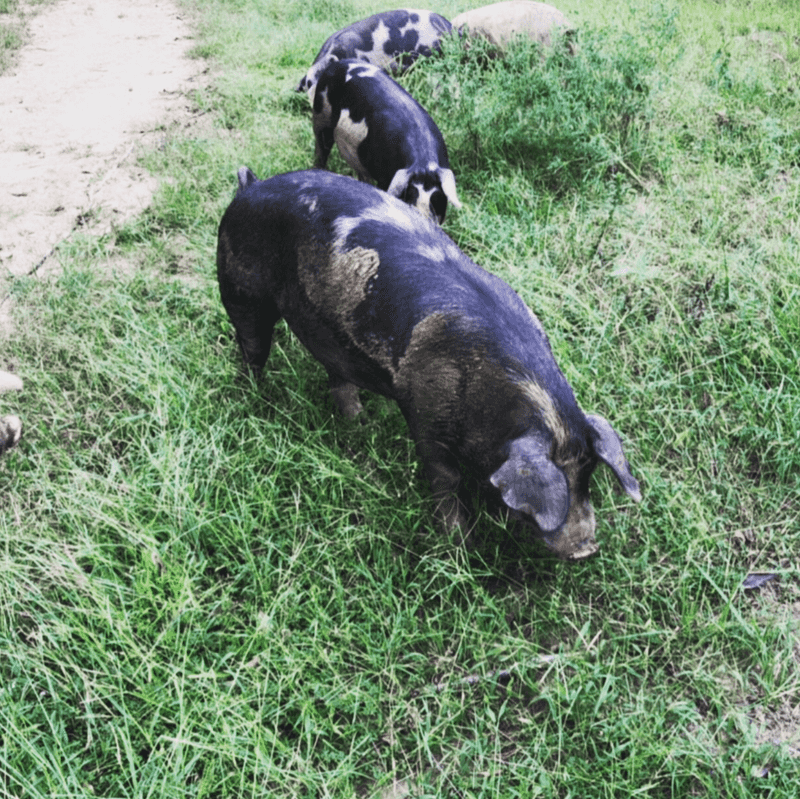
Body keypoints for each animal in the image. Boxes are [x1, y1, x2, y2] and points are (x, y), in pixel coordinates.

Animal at [217, 168, 641, 560]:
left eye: (588, 474)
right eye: (557, 481)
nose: (587, 547)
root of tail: (250, 186)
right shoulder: (425, 411)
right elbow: (445, 478)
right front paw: (460, 547)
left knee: (337, 378)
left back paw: (358, 424)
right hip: (240, 290)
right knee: (252, 348)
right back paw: (256, 399)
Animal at [312, 59, 461, 224]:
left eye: (436, 198)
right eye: (410, 194)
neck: (423, 162)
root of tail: (339, 63)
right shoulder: (384, 179)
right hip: (321, 115)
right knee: (321, 148)